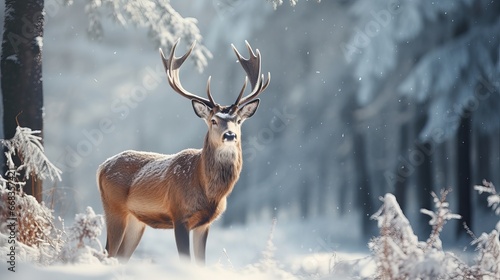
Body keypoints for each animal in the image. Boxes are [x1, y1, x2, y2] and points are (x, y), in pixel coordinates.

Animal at [96, 40, 270, 264]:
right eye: (213, 120)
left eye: (238, 120)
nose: (230, 135)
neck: (208, 191)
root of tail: (102, 166)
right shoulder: (179, 215)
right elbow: (185, 258)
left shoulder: (204, 224)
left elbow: (201, 263)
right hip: (114, 208)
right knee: (107, 252)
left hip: (136, 221)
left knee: (120, 256)